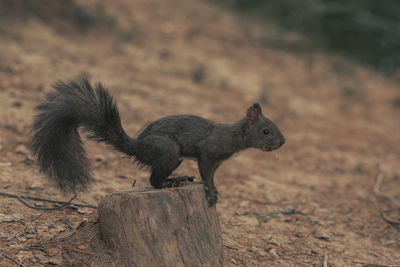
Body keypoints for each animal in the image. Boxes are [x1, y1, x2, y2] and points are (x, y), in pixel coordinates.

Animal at [32, 77, 286, 207]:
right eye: (266, 131)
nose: (282, 142)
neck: (233, 136)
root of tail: (137, 146)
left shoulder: (218, 161)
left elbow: (212, 175)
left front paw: (214, 189)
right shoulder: (208, 153)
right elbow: (206, 174)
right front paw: (211, 192)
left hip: (173, 158)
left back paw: (176, 179)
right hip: (168, 151)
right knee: (154, 181)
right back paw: (171, 183)